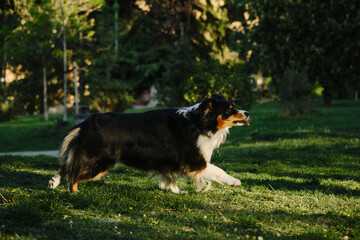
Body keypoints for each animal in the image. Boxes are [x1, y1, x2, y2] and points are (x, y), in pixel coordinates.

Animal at [49, 94, 249, 193]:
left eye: (234, 106)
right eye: (229, 109)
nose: (247, 113)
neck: (199, 122)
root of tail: (86, 122)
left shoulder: (169, 161)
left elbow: (170, 177)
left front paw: (175, 191)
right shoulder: (195, 161)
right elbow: (218, 170)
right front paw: (234, 181)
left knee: (68, 165)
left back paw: (54, 182)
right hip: (98, 159)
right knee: (73, 173)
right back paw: (74, 192)